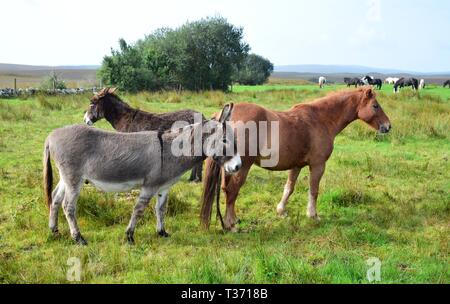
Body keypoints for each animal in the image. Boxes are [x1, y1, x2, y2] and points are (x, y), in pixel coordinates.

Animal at [200, 86, 390, 232]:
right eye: (375, 106)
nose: (388, 126)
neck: (321, 119)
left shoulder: (296, 165)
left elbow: (289, 188)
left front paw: (281, 211)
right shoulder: (318, 165)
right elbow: (314, 190)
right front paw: (313, 215)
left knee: (226, 190)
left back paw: (232, 220)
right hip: (242, 167)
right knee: (233, 191)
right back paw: (231, 225)